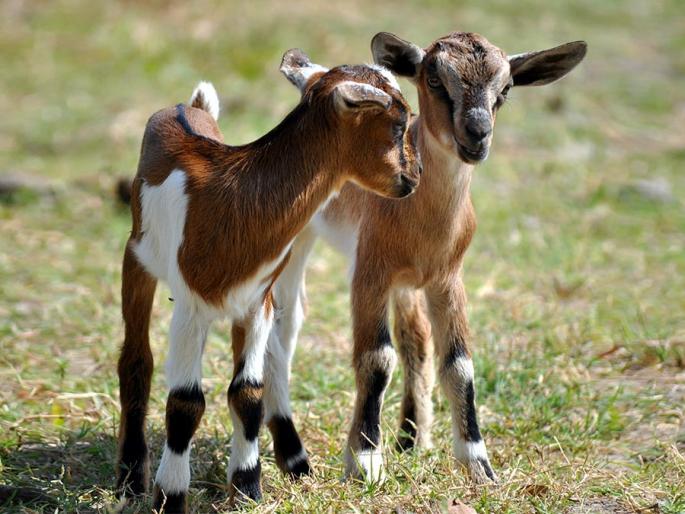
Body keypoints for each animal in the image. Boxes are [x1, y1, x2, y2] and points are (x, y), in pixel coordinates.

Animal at [115, 49, 421, 512]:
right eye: (398, 124)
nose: (415, 177)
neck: (236, 197)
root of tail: (188, 107)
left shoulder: (256, 302)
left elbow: (248, 394)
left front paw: (247, 488)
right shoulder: (190, 306)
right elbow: (184, 402)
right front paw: (170, 496)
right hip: (137, 261)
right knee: (136, 362)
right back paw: (131, 478)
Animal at [264, 32, 587, 484]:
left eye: (505, 89)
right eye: (434, 80)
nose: (477, 134)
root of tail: (313, 77)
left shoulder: (446, 279)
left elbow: (458, 364)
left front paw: (478, 465)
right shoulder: (369, 272)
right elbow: (376, 359)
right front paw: (365, 462)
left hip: (407, 285)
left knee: (414, 337)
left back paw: (410, 437)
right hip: (298, 239)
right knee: (284, 326)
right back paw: (295, 456)